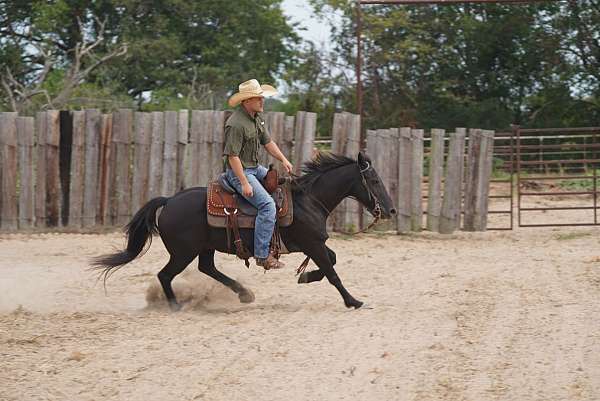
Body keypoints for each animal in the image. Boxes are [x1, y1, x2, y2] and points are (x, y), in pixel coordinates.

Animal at [92, 151, 394, 310]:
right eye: (375, 181)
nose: (390, 210)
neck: (308, 200)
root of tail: (169, 200)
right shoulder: (312, 243)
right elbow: (332, 272)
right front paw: (353, 300)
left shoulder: (315, 243)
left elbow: (332, 261)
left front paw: (305, 277)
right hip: (183, 252)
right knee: (165, 275)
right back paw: (175, 306)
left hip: (204, 248)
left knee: (207, 268)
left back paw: (244, 293)